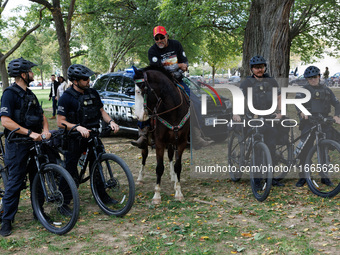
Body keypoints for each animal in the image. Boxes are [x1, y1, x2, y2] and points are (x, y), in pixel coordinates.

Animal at [133, 66, 190, 205]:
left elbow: (178, 166)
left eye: (141, 88)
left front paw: (178, 192)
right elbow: (159, 168)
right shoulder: (159, 142)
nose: (138, 116)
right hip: (147, 144)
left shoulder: (181, 142)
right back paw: (140, 178)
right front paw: (157, 195)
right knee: (144, 157)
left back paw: (173, 177)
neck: (174, 110)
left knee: (170, 156)